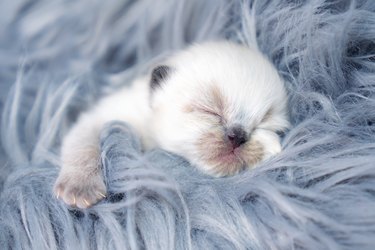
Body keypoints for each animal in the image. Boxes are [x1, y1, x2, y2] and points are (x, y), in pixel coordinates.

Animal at [54, 41, 290, 209]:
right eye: (210, 110)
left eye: (263, 124)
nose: (239, 136)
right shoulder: (102, 118)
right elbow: (84, 149)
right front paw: (80, 188)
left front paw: (271, 147)